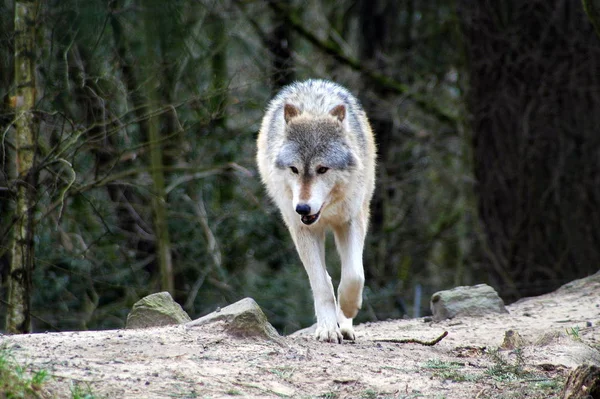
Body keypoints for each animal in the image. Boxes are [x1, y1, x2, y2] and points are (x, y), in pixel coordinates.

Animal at [256, 79, 376, 344]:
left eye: (322, 169)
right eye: (294, 169)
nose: (302, 207)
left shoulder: (351, 220)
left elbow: (354, 275)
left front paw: (348, 309)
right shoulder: (301, 228)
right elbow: (321, 284)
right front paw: (328, 329)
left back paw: (346, 325)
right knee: (327, 279)